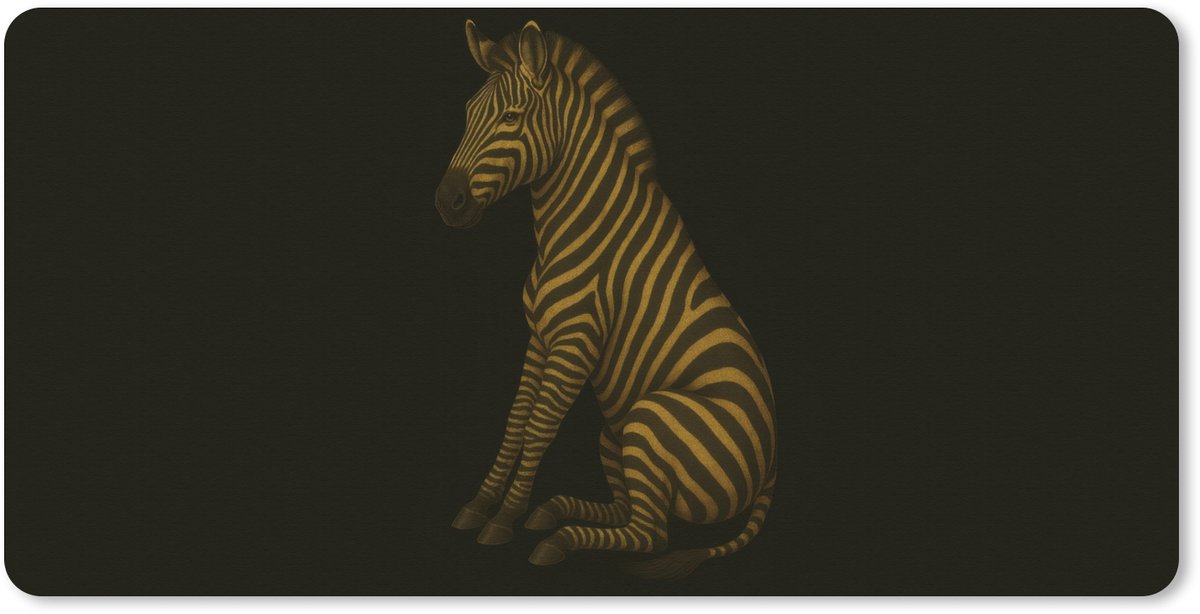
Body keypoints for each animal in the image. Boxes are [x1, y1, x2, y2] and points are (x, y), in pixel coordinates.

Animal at [434, 20, 778, 581]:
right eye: (466, 114)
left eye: (511, 118)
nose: (447, 202)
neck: (573, 229)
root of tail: (770, 467)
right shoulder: (539, 337)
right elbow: (515, 422)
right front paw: (480, 506)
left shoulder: (576, 341)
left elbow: (539, 427)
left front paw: (503, 519)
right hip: (615, 438)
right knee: (634, 515)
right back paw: (555, 511)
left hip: (649, 418)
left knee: (651, 536)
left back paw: (560, 538)